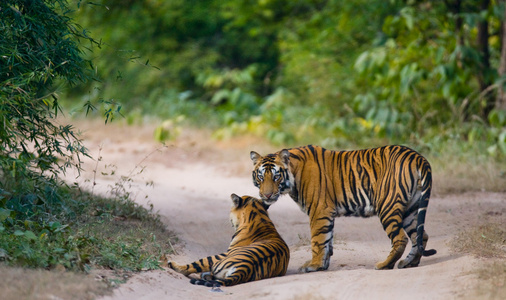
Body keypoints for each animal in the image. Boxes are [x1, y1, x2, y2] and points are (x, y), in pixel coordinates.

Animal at [251, 145, 436, 272]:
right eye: (261, 177)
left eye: (276, 176)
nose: (267, 195)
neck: (293, 176)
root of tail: (417, 156)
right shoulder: (326, 214)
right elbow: (327, 240)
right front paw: (322, 265)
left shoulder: (319, 211)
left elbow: (318, 240)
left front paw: (314, 265)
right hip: (411, 209)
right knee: (420, 236)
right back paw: (410, 263)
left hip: (387, 206)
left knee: (400, 238)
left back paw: (384, 264)